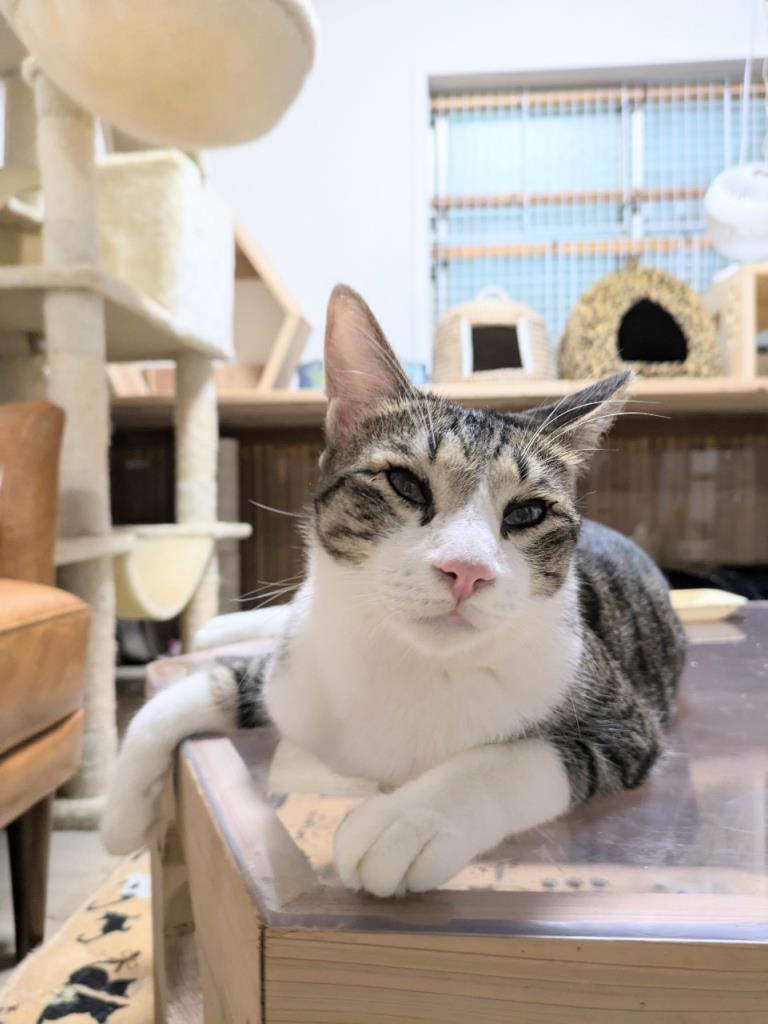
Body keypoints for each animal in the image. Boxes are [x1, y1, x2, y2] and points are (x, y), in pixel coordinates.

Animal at [102, 284, 686, 898]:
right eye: (405, 483)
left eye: (527, 513)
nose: (466, 570)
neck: (410, 661)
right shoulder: (295, 673)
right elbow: (204, 689)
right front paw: (122, 813)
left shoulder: (625, 722)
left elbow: (524, 755)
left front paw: (407, 820)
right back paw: (221, 626)